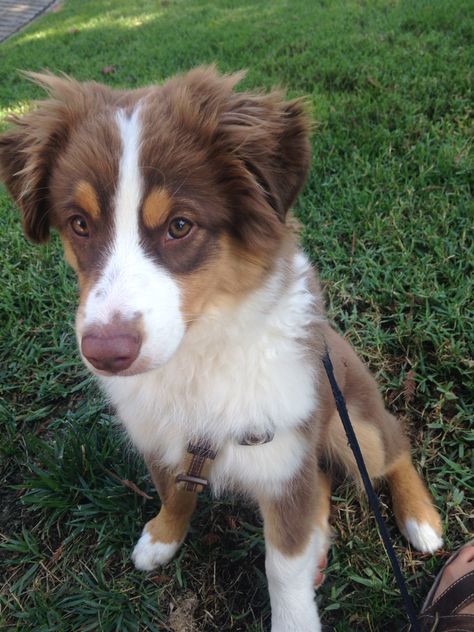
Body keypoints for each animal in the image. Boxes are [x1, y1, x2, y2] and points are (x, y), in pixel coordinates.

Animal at [0, 69, 444, 632]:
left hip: (353, 423)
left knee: (393, 448)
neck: (198, 353)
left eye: (180, 226)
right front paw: (162, 538)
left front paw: (294, 614)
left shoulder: (283, 458)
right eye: (79, 223)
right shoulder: (164, 439)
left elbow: (283, 566)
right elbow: (175, 492)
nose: (105, 354)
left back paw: (420, 519)